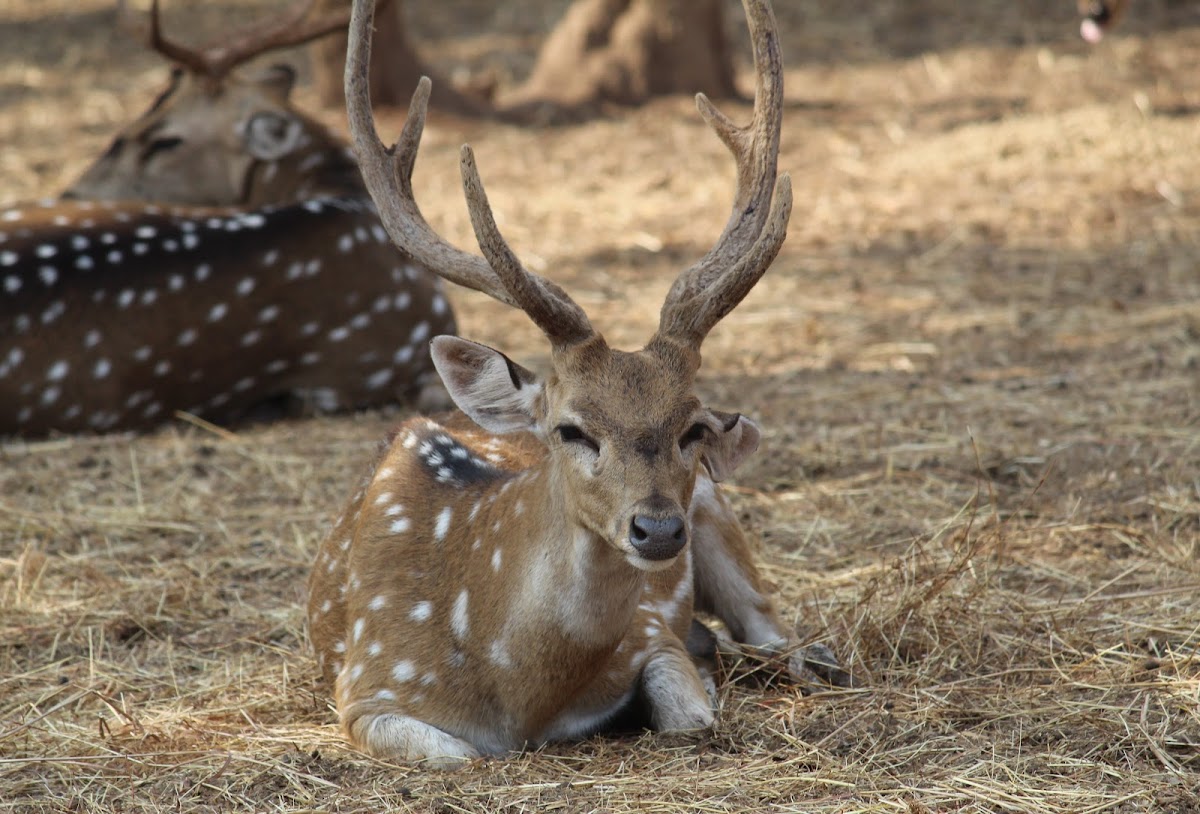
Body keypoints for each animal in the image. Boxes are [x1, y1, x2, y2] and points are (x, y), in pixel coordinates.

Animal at [304, 0, 840, 773]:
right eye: (571, 429)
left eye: (694, 427)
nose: (656, 528)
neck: (519, 692)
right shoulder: (368, 683)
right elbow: (458, 755)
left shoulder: (651, 632)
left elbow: (691, 715)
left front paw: (700, 680)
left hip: (720, 517)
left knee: (776, 635)